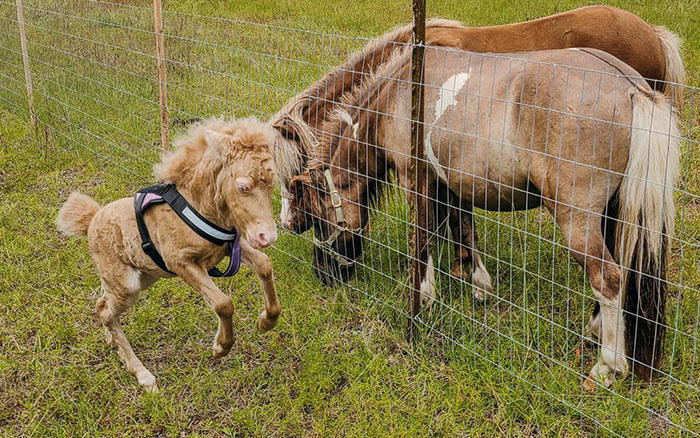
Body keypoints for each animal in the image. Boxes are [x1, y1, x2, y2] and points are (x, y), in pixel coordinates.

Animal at [57, 117, 280, 392]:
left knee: (102, 305)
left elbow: (264, 264)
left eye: (272, 183)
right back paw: (142, 375)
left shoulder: (229, 247)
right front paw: (220, 348)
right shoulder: (181, 262)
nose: (267, 237)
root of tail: (91, 221)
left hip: (141, 277)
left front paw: (266, 321)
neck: (198, 205)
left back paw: (112, 342)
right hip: (128, 285)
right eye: (243, 187)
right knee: (107, 313)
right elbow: (222, 303)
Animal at [288, 45, 680, 389]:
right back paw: (597, 330)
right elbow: (464, 231)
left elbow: (424, 239)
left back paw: (607, 367)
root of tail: (631, 88)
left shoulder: (418, 182)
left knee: (608, 279)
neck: (397, 94)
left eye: (317, 219)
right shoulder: (455, 187)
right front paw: (479, 287)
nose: (322, 274)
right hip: (613, 213)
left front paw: (424, 298)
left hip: (577, 218)